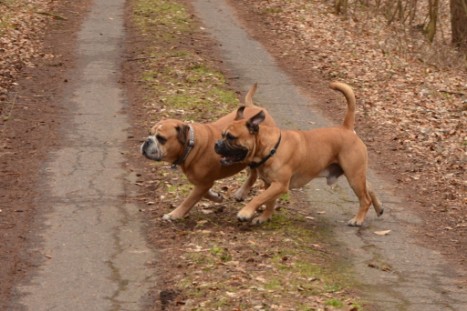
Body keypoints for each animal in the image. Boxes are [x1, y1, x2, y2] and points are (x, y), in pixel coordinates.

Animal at [141, 84, 276, 222]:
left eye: (161, 138)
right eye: (149, 133)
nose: (147, 141)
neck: (191, 145)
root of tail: (255, 107)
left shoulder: (203, 183)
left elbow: (189, 201)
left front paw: (174, 214)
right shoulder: (201, 182)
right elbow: (205, 193)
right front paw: (216, 196)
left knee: (254, 174)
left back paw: (242, 192)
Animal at [216, 80, 384, 227]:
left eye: (231, 137)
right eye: (222, 134)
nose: (216, 144)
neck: (270, 148)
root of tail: (347, 129)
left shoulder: (280, 185)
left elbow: (259, 197)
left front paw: (245, 212)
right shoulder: (271, 184)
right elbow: (269, 202)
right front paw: (264, 217)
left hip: (353, 175)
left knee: (365, 199)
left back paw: (358, 220)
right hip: (355, 173)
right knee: (369, 187)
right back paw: (379, 208)